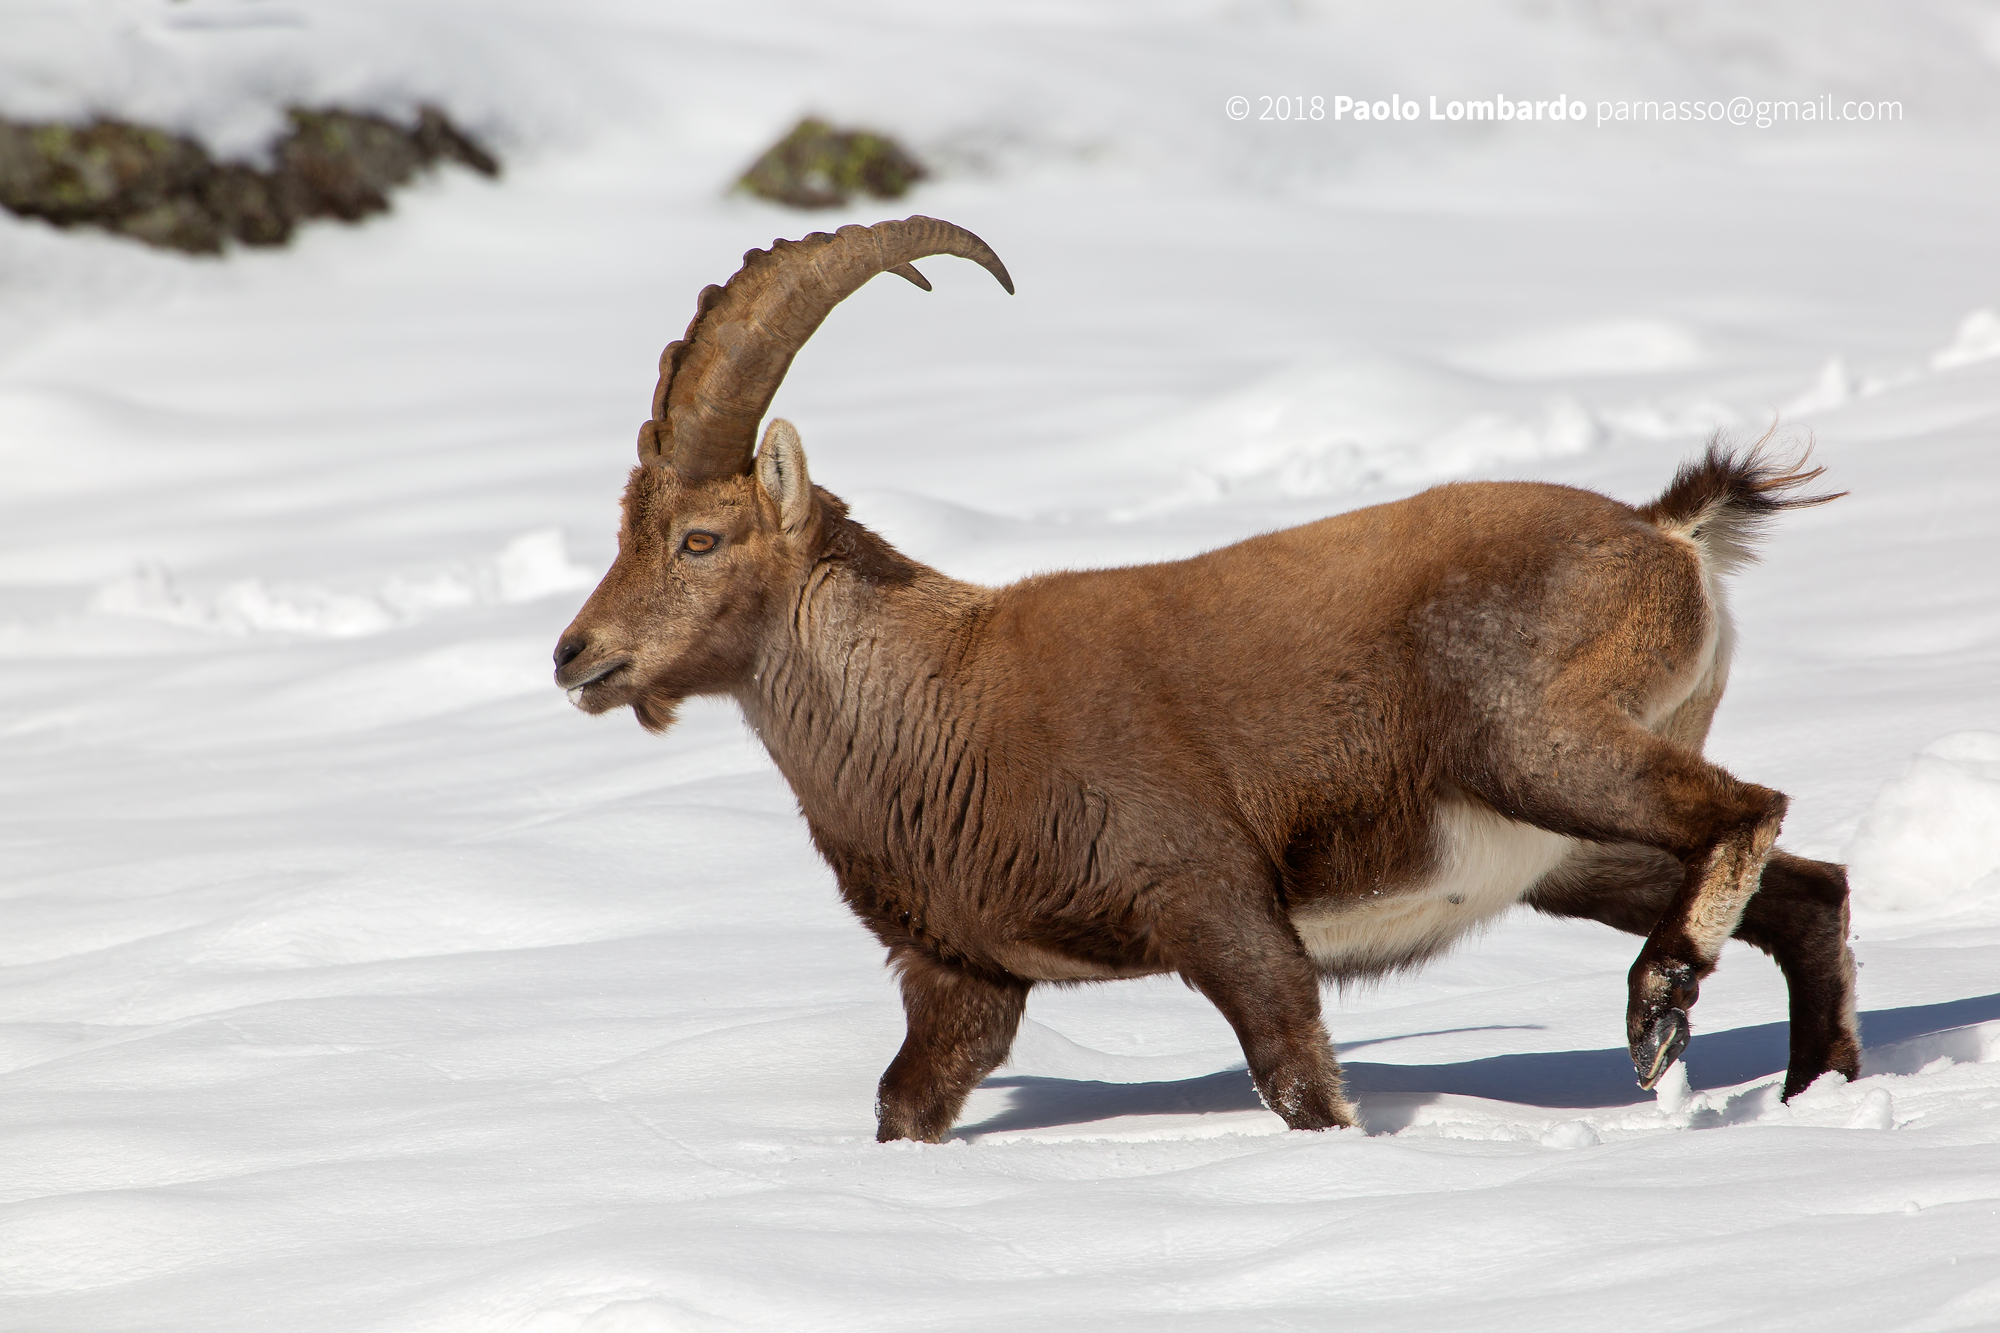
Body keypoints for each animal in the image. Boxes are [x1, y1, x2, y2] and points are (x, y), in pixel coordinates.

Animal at [555, 217, 1860, 1142]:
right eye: (627, 526)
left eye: (699, 539)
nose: (575, 654)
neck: (934, 701)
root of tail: (1668, 536)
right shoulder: (963, 974)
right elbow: (904, 1099)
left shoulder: (1213, 900)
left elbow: (1294, 1076)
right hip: (1568, 848)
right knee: (1811, 889)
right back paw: (1819, 1091)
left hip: (1541, 748)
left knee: (1749, 810)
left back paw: (1659, 1003)